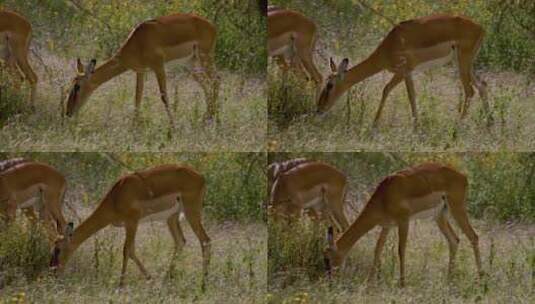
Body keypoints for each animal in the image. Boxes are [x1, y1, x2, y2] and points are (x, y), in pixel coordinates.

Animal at [49, 165, 210, 286]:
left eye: (58, 249)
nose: (54, 272)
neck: (116, 197)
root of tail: (201, 177)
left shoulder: (132, 222)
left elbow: (127, 250)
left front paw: (121, 285)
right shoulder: (129, 224)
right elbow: (131, 250)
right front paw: (149, 278)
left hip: (191, 212)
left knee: (205, 241)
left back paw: (203, 283)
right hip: (172, 217)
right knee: (180, 241)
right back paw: (167, 279)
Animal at [65, 13, 220, 131]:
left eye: (77, 86)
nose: (68, 113)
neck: (138, 41)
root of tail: (212, 26)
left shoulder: (158, 66)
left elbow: (164, 97)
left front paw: (173, 128)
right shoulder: (140, 71)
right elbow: (137, 98)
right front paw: (133, 128)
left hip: (205, 57)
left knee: (216, 80)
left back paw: (214, 119)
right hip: (191, 65)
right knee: (206, 85)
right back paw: (207, 118)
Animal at [324, 163, 484, 286]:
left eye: (329, 258)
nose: (330, 282)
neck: (385, 196)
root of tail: (463, 176)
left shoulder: (403, 221)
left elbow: (401, 250)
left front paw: (402, 283)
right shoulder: (387, 225)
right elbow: (378, 249)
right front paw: (369, 281)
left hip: (457, 209)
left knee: (473, 236)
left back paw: (480, 279)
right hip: (440, 216)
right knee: (454, 240)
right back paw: (449, 279)